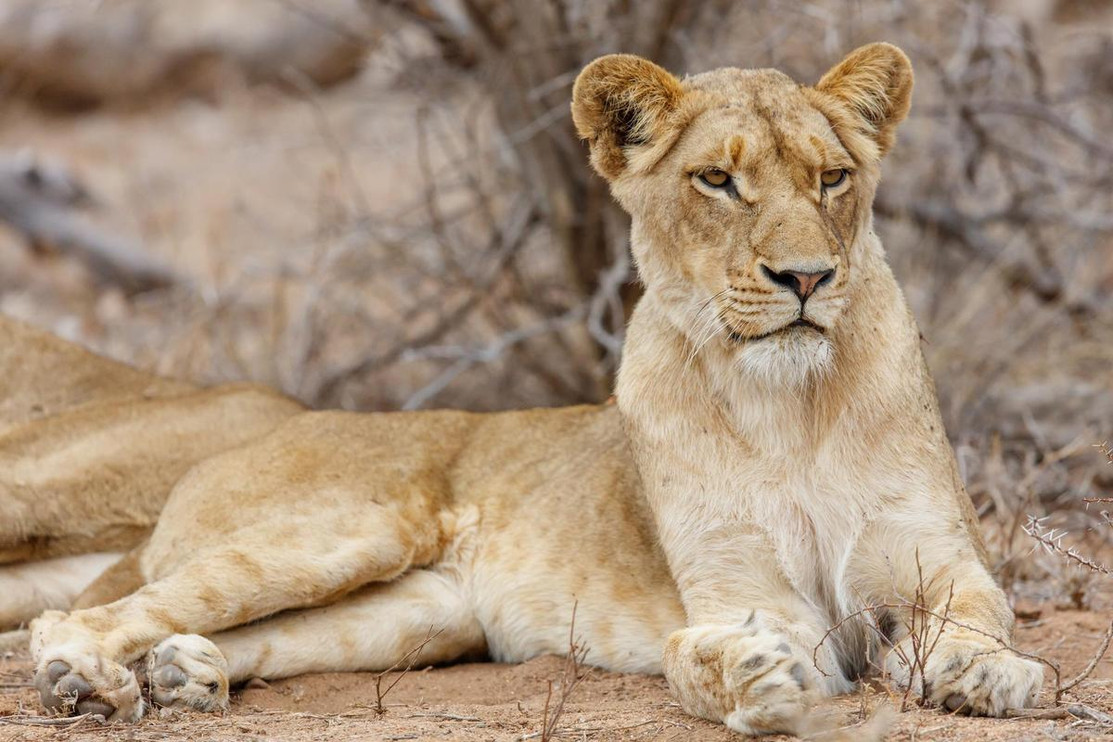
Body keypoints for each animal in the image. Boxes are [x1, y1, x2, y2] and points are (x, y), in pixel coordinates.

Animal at [5, 43, 1042, 735]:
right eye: (717, 181)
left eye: (832, 178)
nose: (806, 278)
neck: (790, 409)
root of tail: (248, 433)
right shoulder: (743, 590)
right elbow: (720, 653)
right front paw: (752, 676)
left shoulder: (935, 563)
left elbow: (978, 619)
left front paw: (988, 677)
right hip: (344, 531)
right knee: (81, 614)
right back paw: (85, 682)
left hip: (414, 616)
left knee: (248, 631)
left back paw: (185, 674)